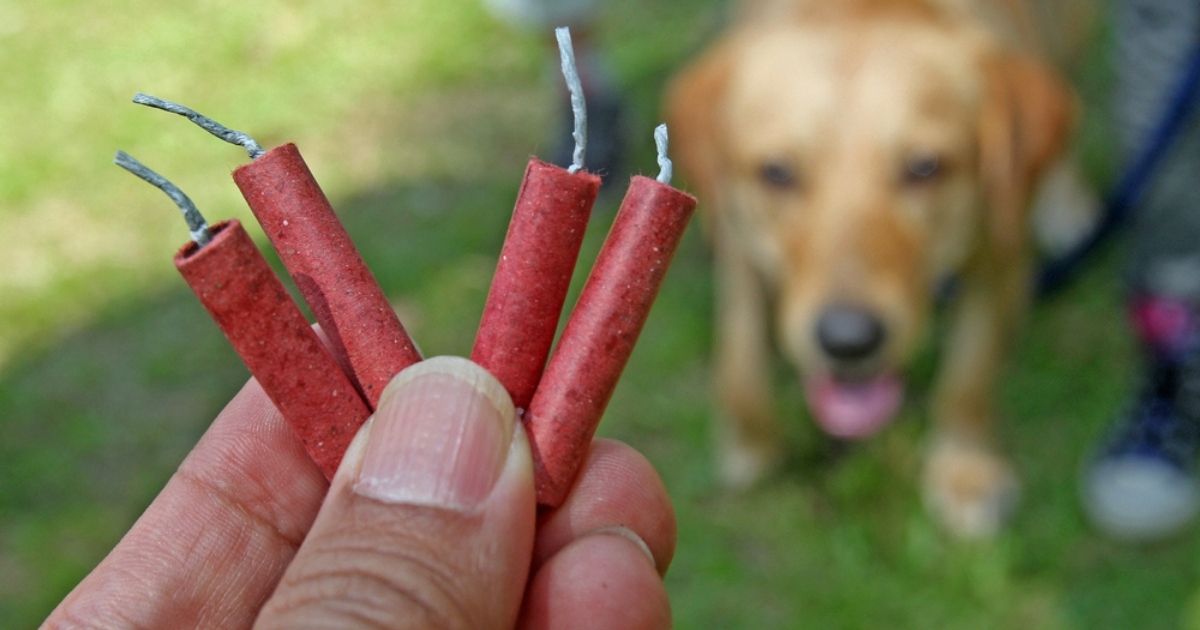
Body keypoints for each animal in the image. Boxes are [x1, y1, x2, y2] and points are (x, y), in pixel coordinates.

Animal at [672, 0, 1084, 535]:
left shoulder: (1002, 252)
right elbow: (739, 353)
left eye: (925, 167)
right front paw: (750, 439)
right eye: (777, 172)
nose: (849, 341)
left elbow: (969, 375)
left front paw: (964, 469)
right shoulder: (737, 235)